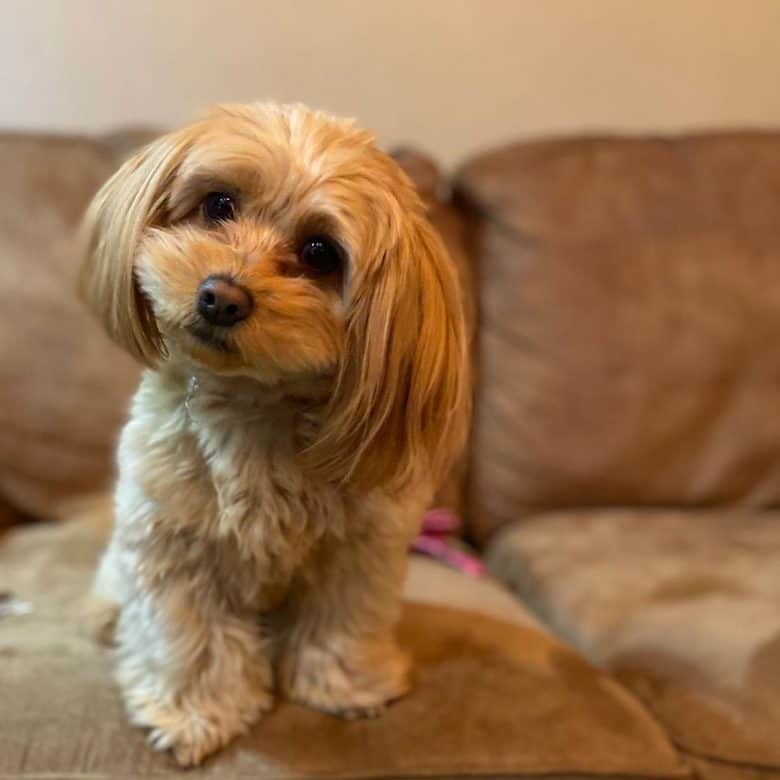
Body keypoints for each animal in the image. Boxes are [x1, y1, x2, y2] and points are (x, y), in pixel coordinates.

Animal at [77, 100, 470, 764]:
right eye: (218, 204)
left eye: (319, 252)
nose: (220, 296)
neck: (253, 408)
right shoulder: (174, 541)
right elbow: (192, 636)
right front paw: (195, 713)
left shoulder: (361, 548)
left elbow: (342, 619)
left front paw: (344, 685)